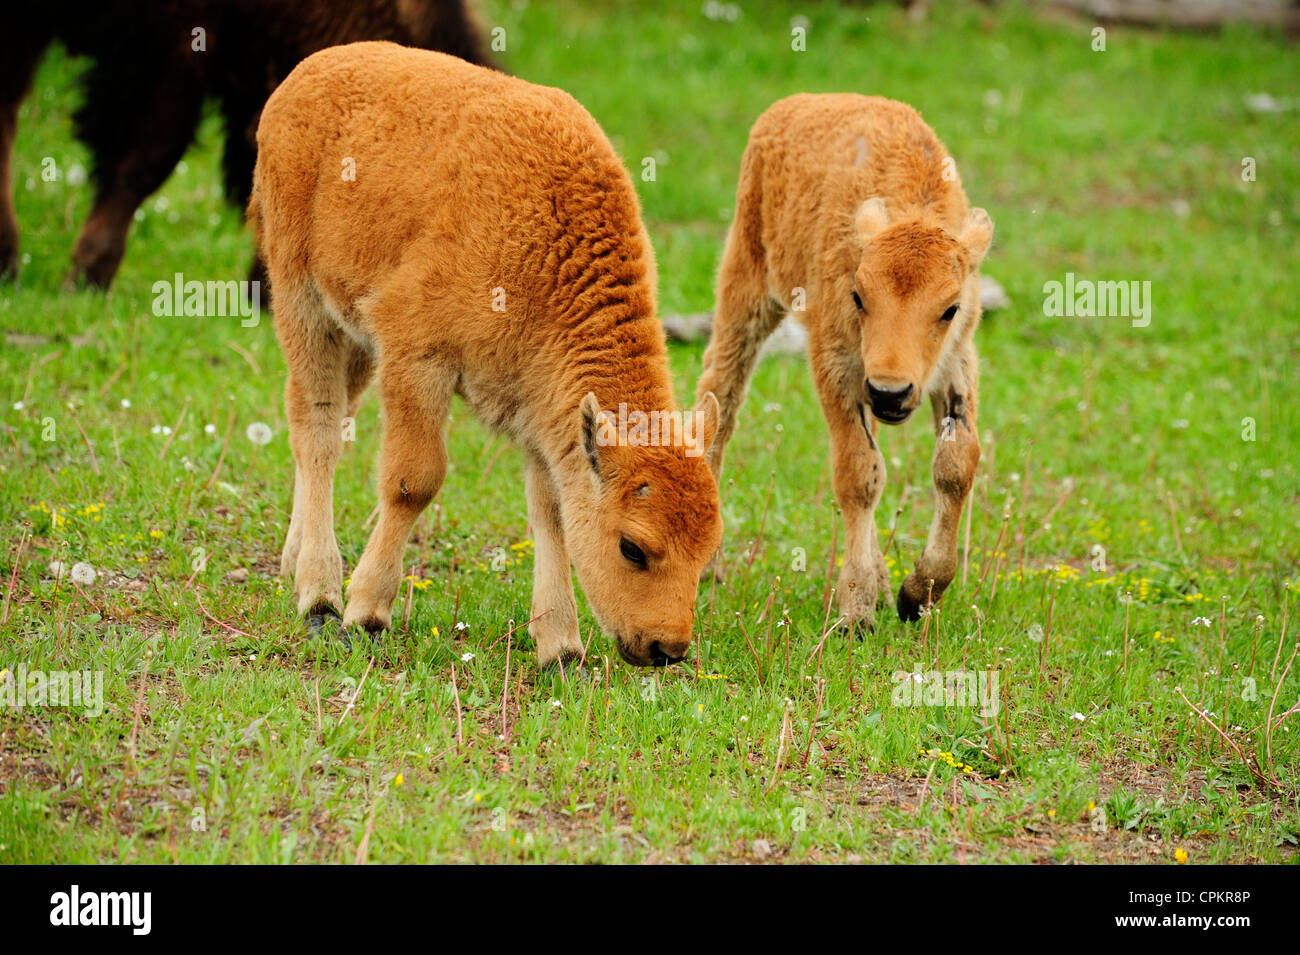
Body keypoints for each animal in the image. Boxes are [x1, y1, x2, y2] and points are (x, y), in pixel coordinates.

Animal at [248, 44, 728, 670]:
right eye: (632, 547)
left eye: (709, 547)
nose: (666, 648)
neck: (550, 255)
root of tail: (304, 76)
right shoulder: (417, 356)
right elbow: (413, 481)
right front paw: (367, 612)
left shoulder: (541, 403)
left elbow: (550, 511)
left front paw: (561, 648)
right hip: (303, 302)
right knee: (318, 427)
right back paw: (319, 593)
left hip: (355, 342)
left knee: (326, 422)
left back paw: (293, 561)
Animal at [702, 95, 993, 634]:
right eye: (859, 296)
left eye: (951, 307)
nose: (890, 392)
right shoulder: (836, 365)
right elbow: (859, 473)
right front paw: (856, 611)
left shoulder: (955, 364)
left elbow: (955, 464)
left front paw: (914, 593)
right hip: (746, 293)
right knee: (720, 402)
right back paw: (709, 564)